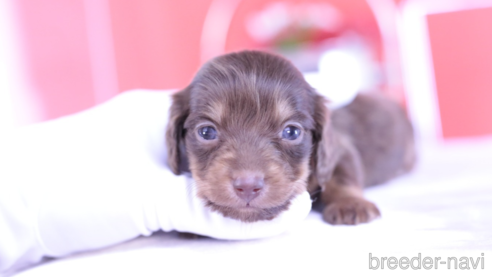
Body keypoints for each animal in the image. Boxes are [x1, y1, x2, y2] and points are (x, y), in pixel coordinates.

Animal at [166, 50, 416, 224]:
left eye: (291, 132)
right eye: (206, 132)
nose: (248, 186)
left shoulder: (339, 149)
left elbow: (341, 177)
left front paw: (351, 203)